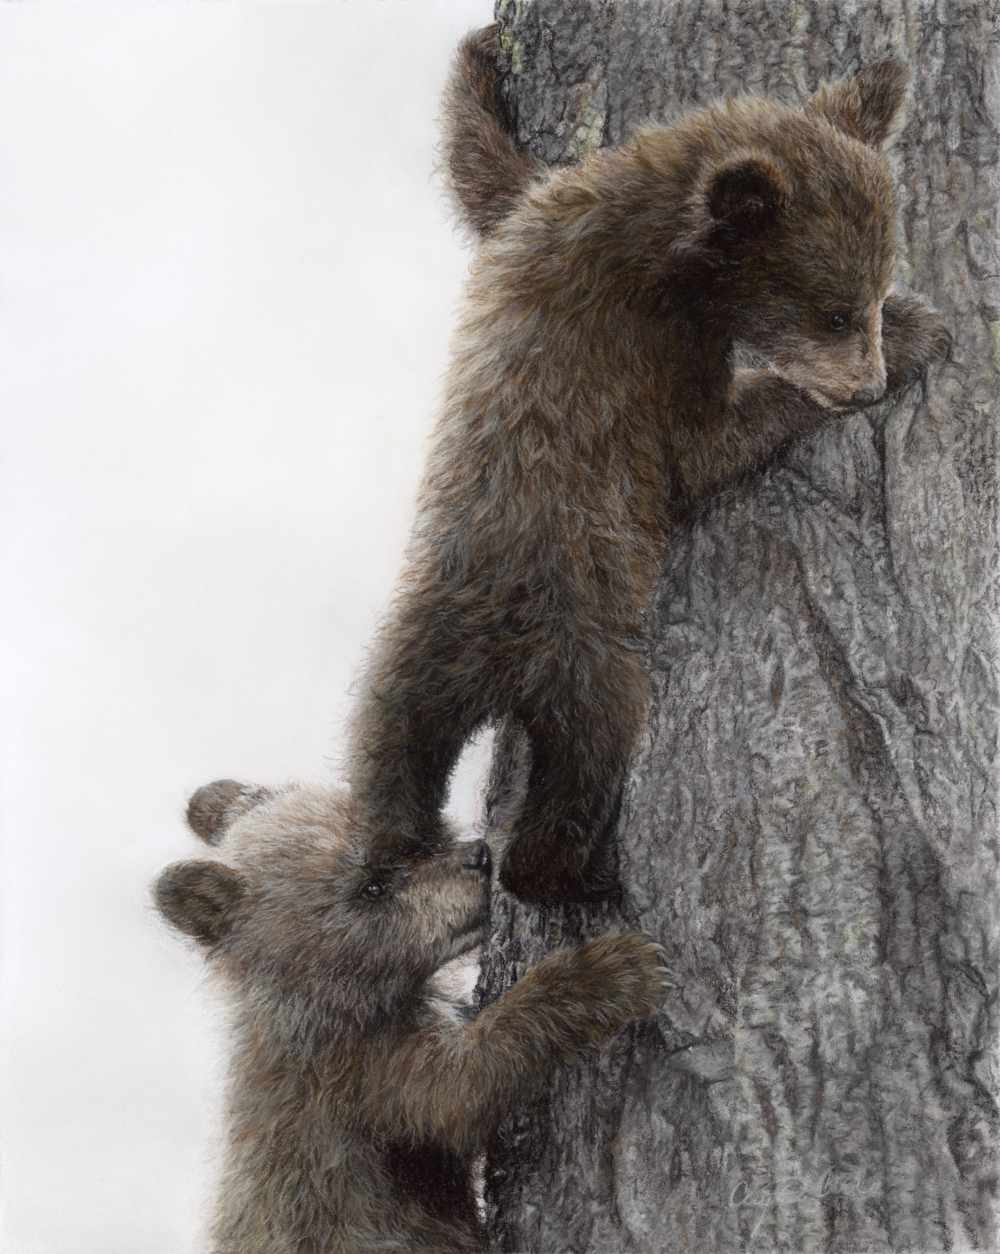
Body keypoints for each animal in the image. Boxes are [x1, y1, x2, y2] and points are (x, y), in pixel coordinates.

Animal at [154, 778, 668, 1254]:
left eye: (417, 840)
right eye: (372, 886)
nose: (480, 856)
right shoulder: (360, 1078)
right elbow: (459, 1089)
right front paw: (613, 970)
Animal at [344, 26, 951, 906]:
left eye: (867, 294)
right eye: (837, 312)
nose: (865, 383)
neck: (658, 244)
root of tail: (490, 660)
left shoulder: (537, 214)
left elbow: (485, 174)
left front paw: (479, 60)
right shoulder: (643, 343)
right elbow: (702, 444)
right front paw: (917, 333)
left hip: (407, 663)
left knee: (386, 767)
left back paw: (397, 852)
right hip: (586, 654)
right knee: (588, 758)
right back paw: (579, 875)